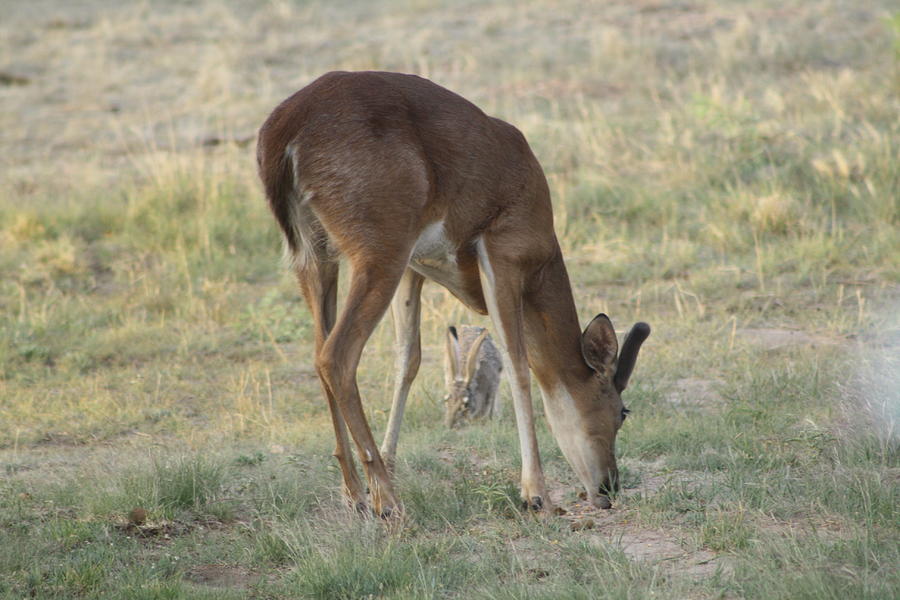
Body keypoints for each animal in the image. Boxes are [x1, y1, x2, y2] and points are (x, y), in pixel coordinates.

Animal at [256, 70, 652, 516]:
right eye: (622, 411)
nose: (608, 489)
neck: (544, 255)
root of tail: (283, 131)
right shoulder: (501, 249)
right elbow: (517, 363)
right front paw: (536, 494)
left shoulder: (416, 268)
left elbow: (408, 359)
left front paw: (391, 462)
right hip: (379, 248)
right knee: (336, 355)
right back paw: (387, 501)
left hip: (315, 255)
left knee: (320, 350)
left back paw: (356, 493)